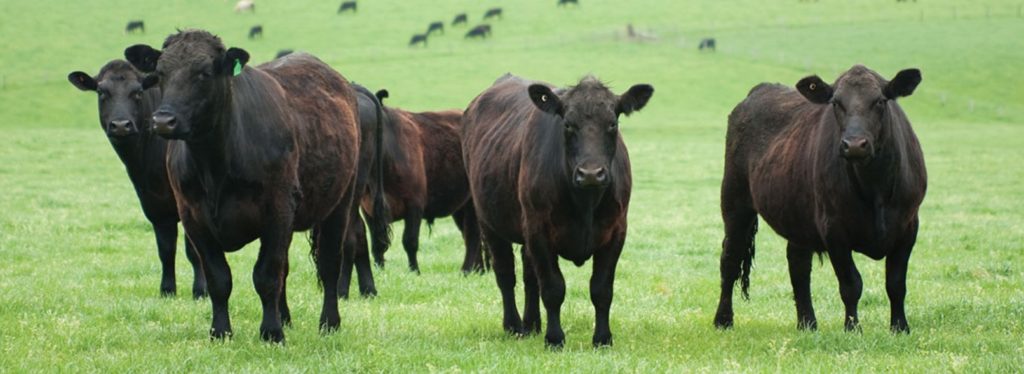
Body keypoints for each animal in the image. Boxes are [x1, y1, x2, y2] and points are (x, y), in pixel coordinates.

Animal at [67, 59, 206, 299]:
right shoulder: (154, 204)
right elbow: (165, 249)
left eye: (138, 92)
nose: (121, 125)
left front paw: (200, 291)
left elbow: (194, 250)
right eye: (102, 92)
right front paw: (167, 290)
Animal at [126, 30, 368, 342]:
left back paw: (329, 323)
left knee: (328, 265)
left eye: (204, 73)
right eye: (160, 73)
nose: (163, 121)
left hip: (340, 203)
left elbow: (266, 275)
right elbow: (219, 278)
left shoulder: (277, 210)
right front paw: (220, 331)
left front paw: (272, 332)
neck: (214, 165)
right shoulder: (193, 217)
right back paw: (286, 317)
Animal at [362, 88, 485, 272]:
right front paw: (379, 271)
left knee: (472, 236)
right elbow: (377, 244)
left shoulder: (415, 204)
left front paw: (415, 271)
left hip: (472, 204)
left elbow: (410, 241)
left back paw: (466, 270)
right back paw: (479, 270)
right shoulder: (368, 209)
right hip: (460, 207)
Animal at [460, 74, 651, 348]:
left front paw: (603, 339)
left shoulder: (616, 231)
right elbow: (552, 287)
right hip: (490, 222)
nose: (591, 173)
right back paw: (514, 326)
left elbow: (601, 289)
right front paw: (554, 338)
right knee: (506, 274)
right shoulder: (539, 230)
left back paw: (532, 324)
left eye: (612, 124)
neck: (585, 203)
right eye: (568, 125)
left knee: (529, 276)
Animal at [712, 64, 929, 331]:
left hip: (796, 213)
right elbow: (851, 284)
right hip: (735, 201)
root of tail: (760, 89)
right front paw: (852, 328)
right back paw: (723, 320)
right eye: (836, 102)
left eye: (879, 101)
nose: (854, 144)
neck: (874, 188)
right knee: (730, 258)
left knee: (798, 265)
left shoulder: (908, 226)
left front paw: (900, 327)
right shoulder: (834, 229)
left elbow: (896, 283)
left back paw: (807, 323)